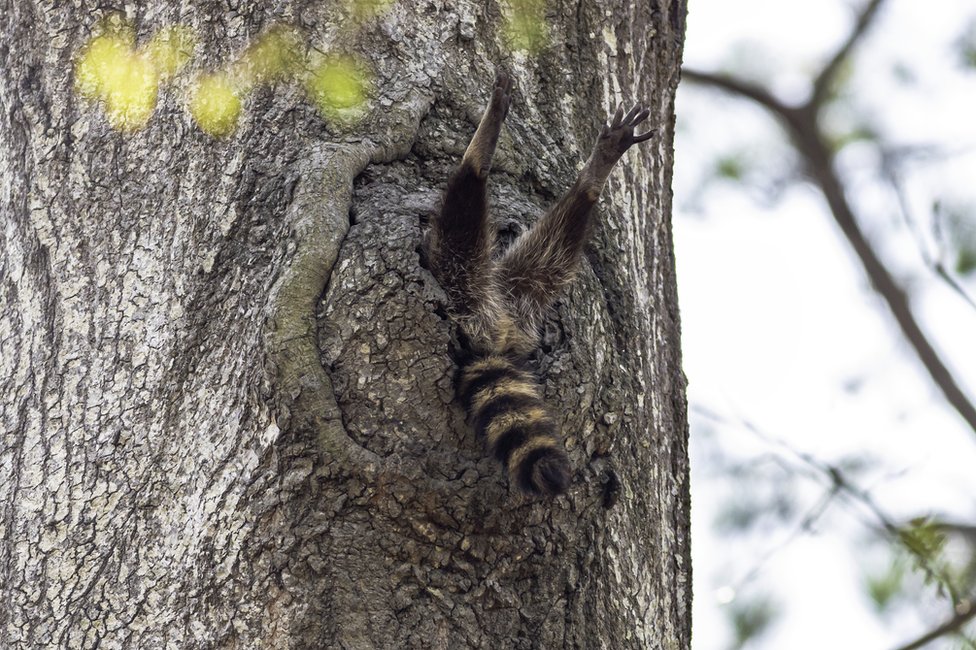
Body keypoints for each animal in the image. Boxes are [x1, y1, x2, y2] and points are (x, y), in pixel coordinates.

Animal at [428, 71, 656, 494]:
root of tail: (493, 334)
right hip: (518, 290)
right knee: (554, 249)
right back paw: (592, 180)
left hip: (463, 280)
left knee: (460, 221)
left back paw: (479, 156)